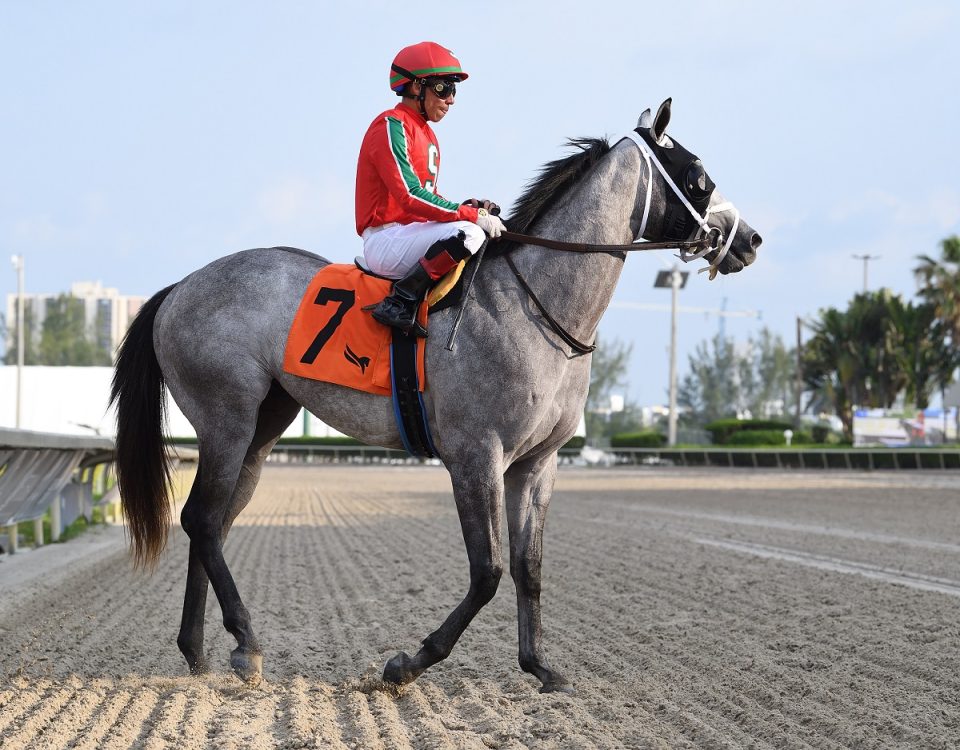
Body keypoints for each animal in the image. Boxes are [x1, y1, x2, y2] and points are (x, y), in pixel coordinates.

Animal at [110, 98, 756, 692]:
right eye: (698, 176)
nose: (749, 238)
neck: (533, 306)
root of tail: (180, 287)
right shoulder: (476, 456)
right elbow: (488, 570)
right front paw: (409, 662)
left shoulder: (537, 464)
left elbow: (529, 566)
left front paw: (539, 665)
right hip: (228, 419)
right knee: (200, 517)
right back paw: (246, 643)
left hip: (264, 427)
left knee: (212, 522)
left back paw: (198, 650)